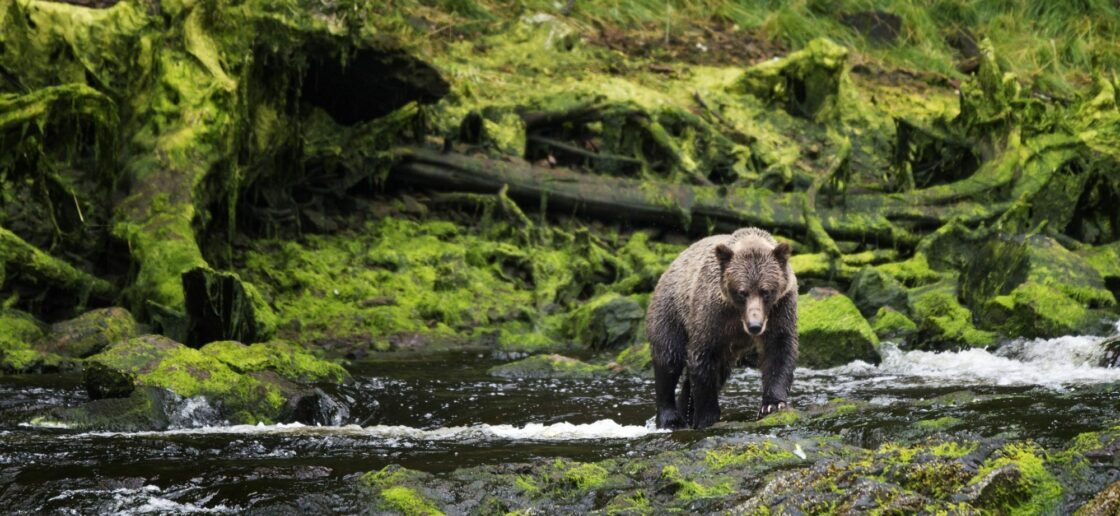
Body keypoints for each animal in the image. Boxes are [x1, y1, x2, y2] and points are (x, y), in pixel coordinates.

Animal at [649, 227, 797, 427]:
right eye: (742, 292)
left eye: (766, 291)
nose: (755, 326)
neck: (737, 315)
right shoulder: (711, 314)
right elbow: (702, 356)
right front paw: (707, 416)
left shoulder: (780, 308)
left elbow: (779, 350)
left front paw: (772, 404)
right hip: (671, 311)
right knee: (668, 359)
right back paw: (670, 417)